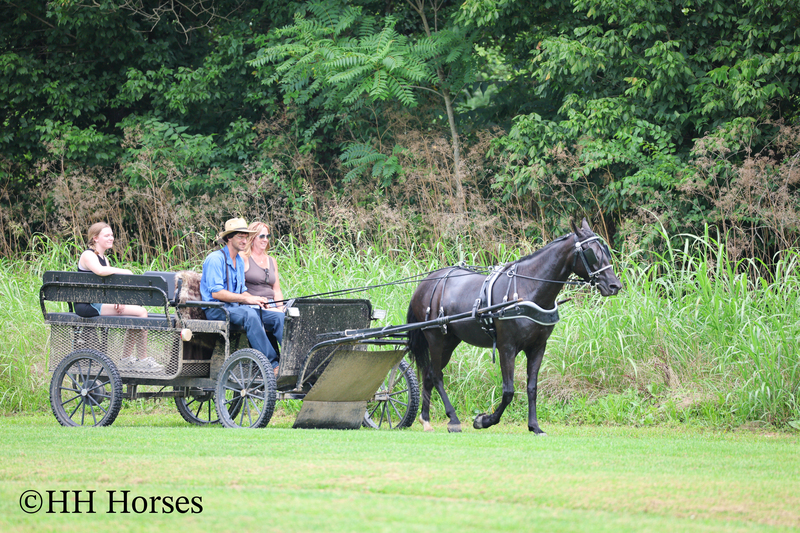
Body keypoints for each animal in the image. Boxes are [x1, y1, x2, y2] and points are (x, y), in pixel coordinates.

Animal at [406, 218, 622, 434]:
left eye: (606, 250)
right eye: (590, 251)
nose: (615, 286)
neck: (528, 290)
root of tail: (424, 284)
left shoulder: (537, 347)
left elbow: (532, 387)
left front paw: (534, 426)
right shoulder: (506, 347)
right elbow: (508, 391)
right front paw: (484, 420)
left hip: (450, 341)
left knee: (429, 375)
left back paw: (425, 419)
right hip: (436, 338)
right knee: (436, 376)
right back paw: (453, 419)